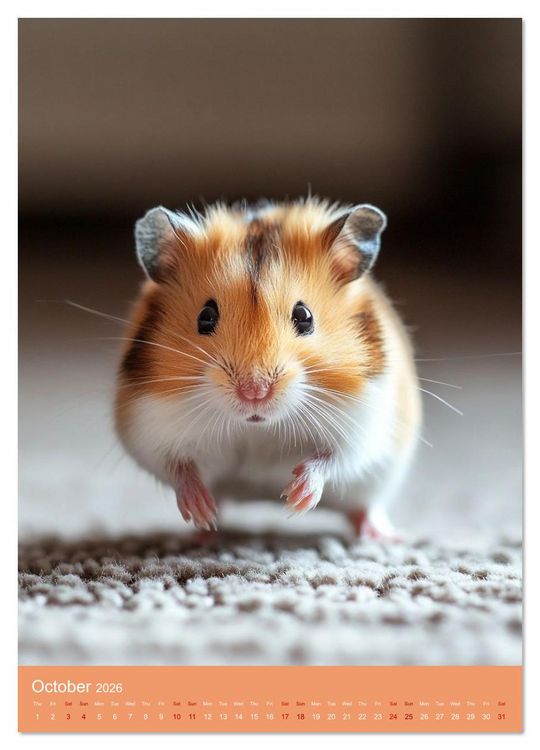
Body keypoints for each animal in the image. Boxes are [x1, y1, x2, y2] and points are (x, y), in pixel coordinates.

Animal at [115, 198, 421, 539]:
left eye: (304, 316)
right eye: (205, 317)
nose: (254, 392)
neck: (257, 427)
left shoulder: (365, 425)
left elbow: (333, 459)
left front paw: (295, 499)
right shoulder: (149, 429)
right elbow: (177, 467)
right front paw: (202, 511)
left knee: (363, 507)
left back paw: (387, 537)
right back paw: (203, 531)